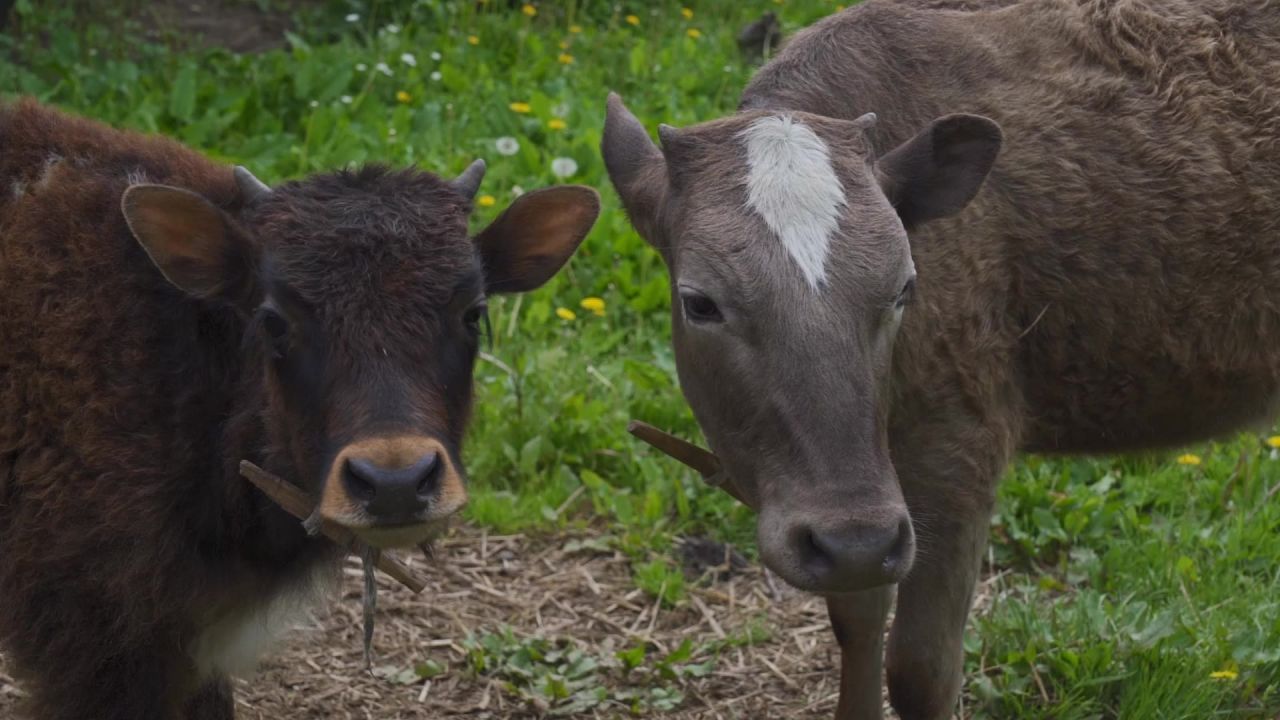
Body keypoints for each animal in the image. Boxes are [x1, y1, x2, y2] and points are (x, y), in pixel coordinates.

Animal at [604, 0, 1280, 712]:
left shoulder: (959, 448)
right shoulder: (868, 512)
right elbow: (857, 618)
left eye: (906, 285)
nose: (852, 539)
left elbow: (921, 669)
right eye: (699, 302)